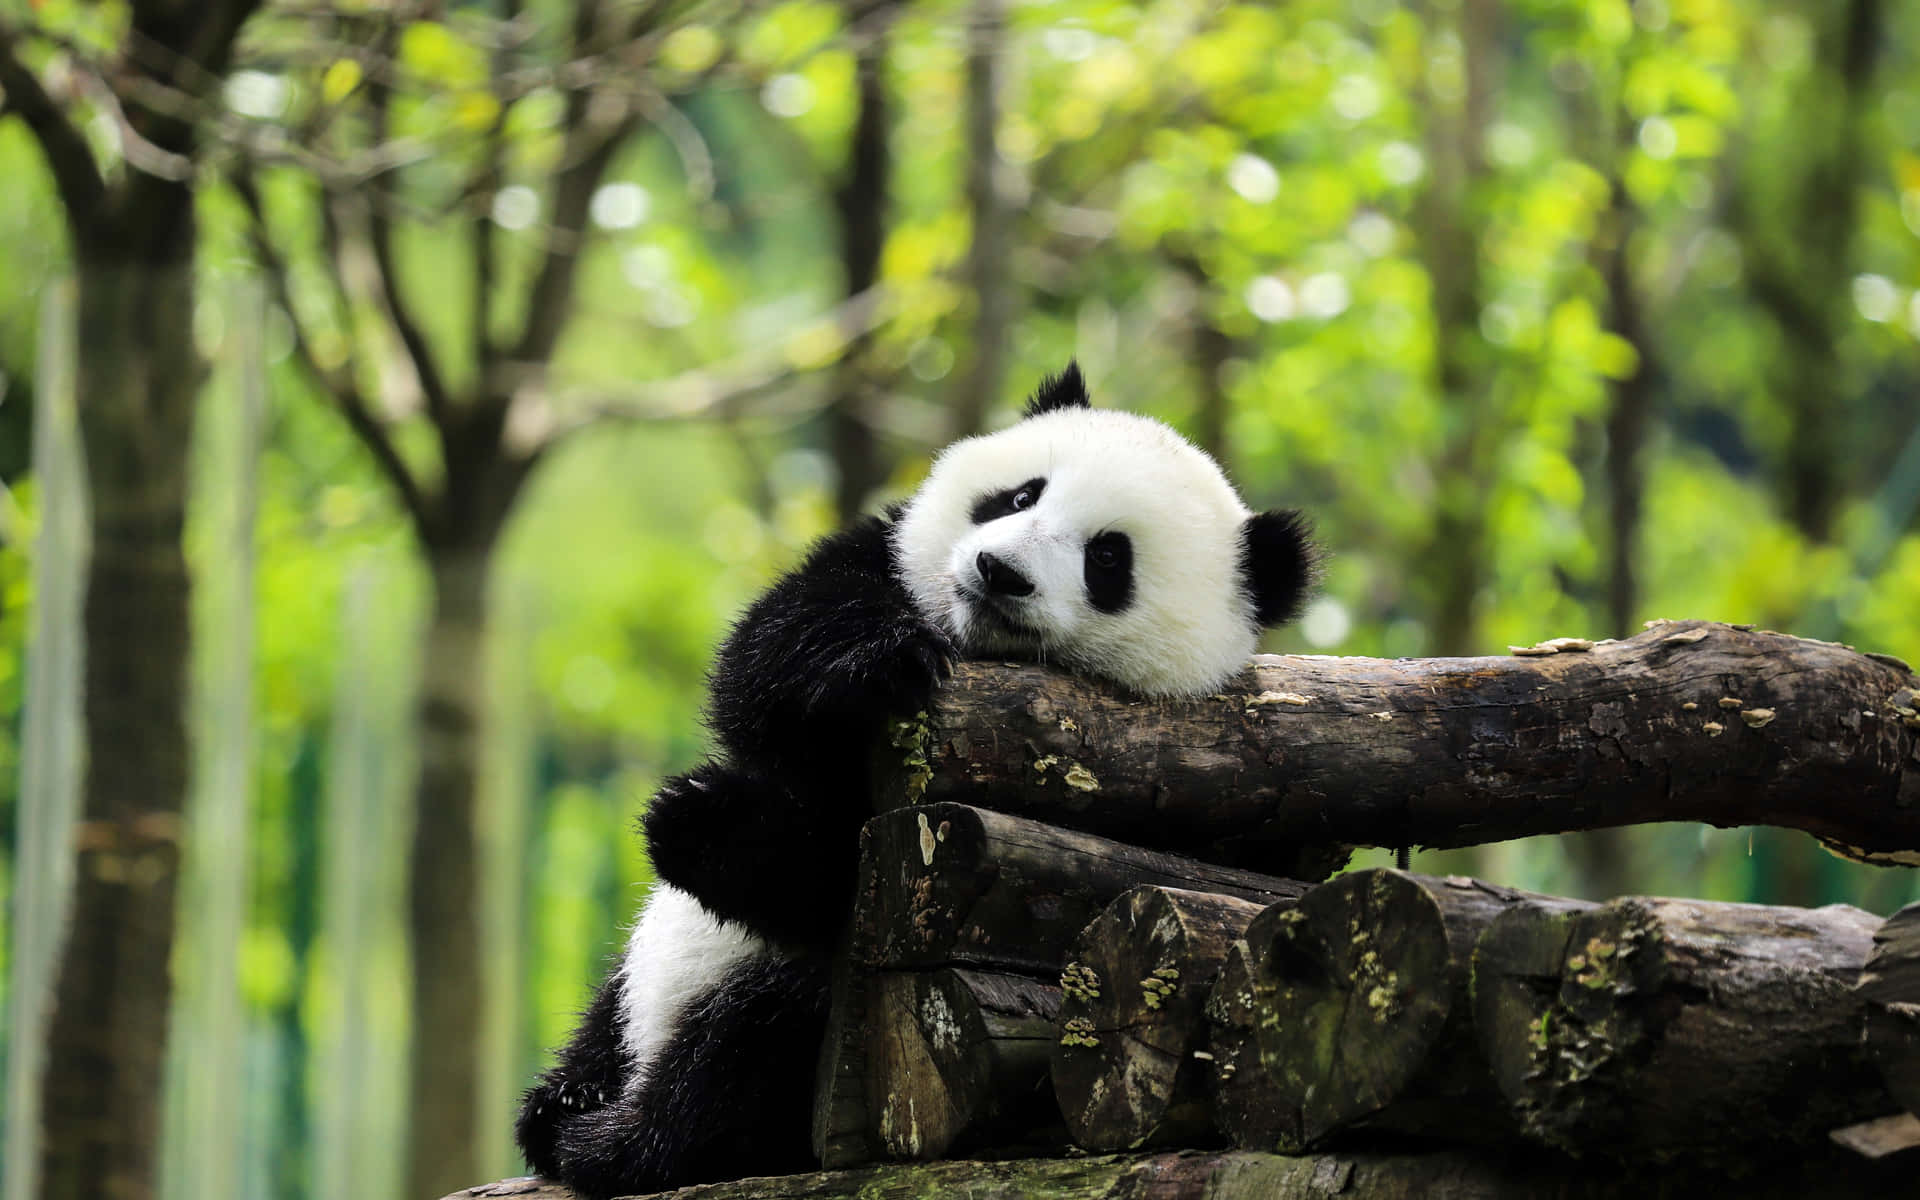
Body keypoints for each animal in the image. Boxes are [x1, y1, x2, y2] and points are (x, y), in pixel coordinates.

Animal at [510, 364, 1320, 1198]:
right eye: (1020, 496)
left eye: (1107, 559)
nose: (999, 572)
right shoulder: (884, 566)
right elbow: (771, 664)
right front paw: (871, 662)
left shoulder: (1187, 794)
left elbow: (835, 872)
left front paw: (720, 830)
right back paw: (561, 1101)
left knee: (750, 1044)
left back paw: (618, 1140)